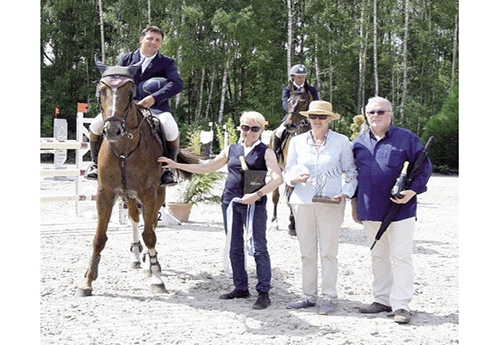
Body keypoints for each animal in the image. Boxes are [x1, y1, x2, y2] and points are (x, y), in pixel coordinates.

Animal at [76, 57, 197, 294]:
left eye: (130, 92)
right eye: (101, 91)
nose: (112, 131)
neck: (124, 147)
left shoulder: (148, 194)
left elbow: (149, 234)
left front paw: (157, 278)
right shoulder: (105, 194)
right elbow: (99, 238)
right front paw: (87, 280)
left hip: (157, 194)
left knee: (152, 224)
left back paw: (151, 264)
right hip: (128, 195)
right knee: (133, 218)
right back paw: (136, 256)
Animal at [270, 90, 312, 236]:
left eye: (304, 101)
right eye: (288, 101)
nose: (289, 125)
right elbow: (291, 196)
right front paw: (292, 225)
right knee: (276, 196)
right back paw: (274, 222)